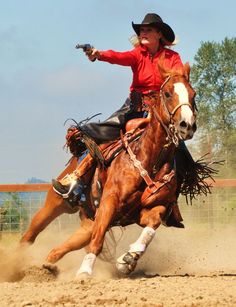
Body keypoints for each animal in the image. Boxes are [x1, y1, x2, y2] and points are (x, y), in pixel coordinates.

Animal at [20, 63, 196, 276]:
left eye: (193, 94)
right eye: (168, 93)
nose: (187, 125)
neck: (150, 161)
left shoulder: (148, 210)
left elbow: (152, 224)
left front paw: (128, 258)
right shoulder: (108, 202)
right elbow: (98, 242)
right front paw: (85, 272)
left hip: (87, 223)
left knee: (58, 249)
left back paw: (47, 267)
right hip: (54, 204)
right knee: (30, 235)